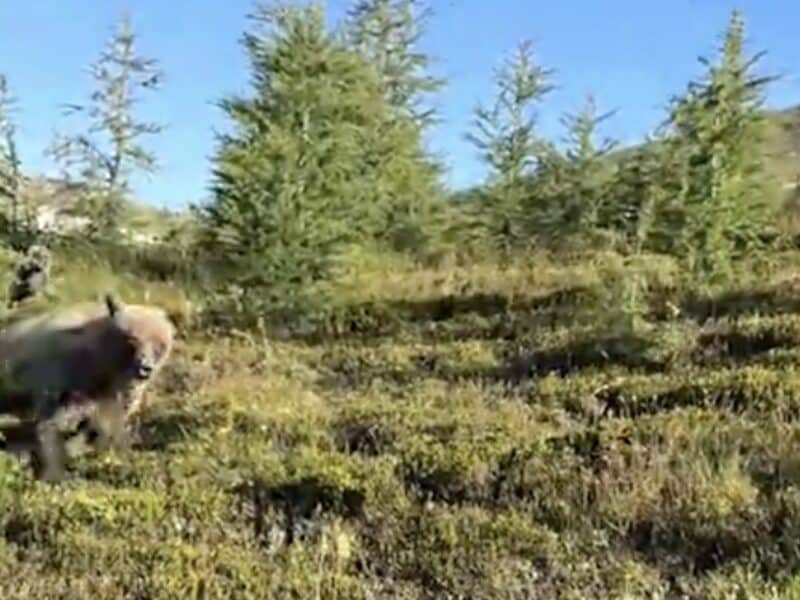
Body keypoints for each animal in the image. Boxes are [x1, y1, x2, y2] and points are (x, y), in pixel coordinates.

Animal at [0, 293, 175, 482]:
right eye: (132, 339)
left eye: (160, 345)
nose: (145, 368)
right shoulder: (59, 385)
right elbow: (50, 430)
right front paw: (53, 472)